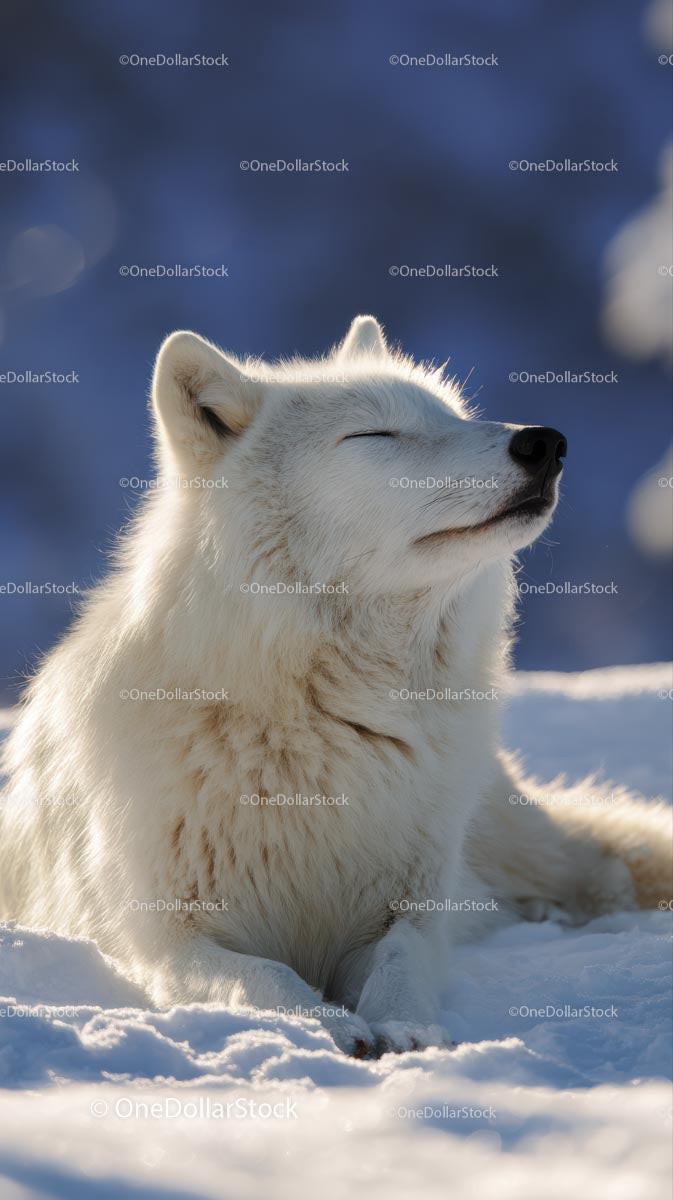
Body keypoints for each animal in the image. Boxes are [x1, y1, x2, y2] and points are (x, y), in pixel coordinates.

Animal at [1, 315, 670, 1056]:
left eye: (453, 417)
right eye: (375, 434)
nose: (544, 442)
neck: (320, 721)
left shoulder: (408, 909)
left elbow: (404, 957)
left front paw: (405, 1029)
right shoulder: (165, 945)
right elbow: (262, 975)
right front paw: (327, 1025)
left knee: (606, 867)